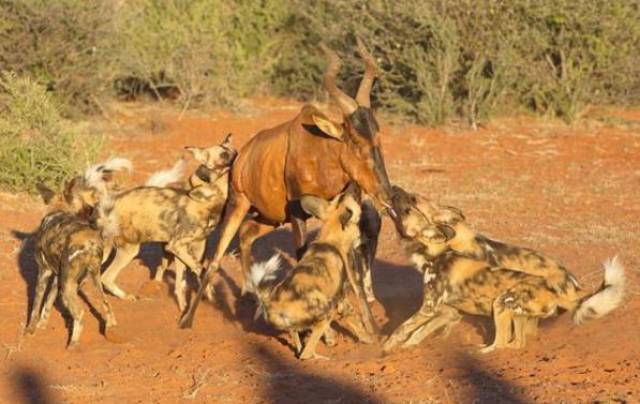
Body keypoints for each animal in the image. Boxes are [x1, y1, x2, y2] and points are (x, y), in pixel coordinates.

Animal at [24, 158, 129, 348]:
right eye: (85, 205)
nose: (91, 211)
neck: (57, 211)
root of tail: (91, 242)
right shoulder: (57, 277)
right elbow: (47, 304)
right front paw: (42, 325)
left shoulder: (44, 272)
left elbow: (36, 306)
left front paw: (30, 330)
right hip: (90, 280)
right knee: (107, 307)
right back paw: (111, 332)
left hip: (68, 286)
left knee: (79, 314)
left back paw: (73, 345)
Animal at [99, 133, 239, 310]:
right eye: (223, 155)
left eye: (233, 150)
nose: (237, 156)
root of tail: (110, 205)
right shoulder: (176, 246)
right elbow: (198, 271)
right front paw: (188, 307)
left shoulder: (191, 248)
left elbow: (192, 277)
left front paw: (197, 301)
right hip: (130, 250)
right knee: (106, 277)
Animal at [178, 38, 392, 328]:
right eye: (355, 140)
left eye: (377, 136)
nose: (386, 194)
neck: (319, 147)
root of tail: (242, 157)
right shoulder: (297, 211)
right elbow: (302, 255)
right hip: (239, 203)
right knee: (215, 257)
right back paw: (187, 319)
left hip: (270, 217)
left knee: (247, 234)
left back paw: (249, 294)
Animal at [248, 185, 372, 362]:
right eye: (351, 196)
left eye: (341, 195)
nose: (353, 184)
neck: (331, 238)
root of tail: (270, 304)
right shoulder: (342, 299)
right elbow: (356, 321)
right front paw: (369, 339)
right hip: (325, 312)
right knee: (306, 354)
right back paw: (324, 359)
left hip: (303, 322)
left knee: (299, 346)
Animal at [382, 187, 628, 354]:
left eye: (412, 201)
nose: (393, 187)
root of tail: (572, 283)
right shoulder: (447, 310)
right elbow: (420, 331)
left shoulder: (433, 308)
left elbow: (404, 328)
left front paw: (387, 348)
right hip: (516, 312)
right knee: (519, 340)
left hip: (503, 303)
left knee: (504, 341)